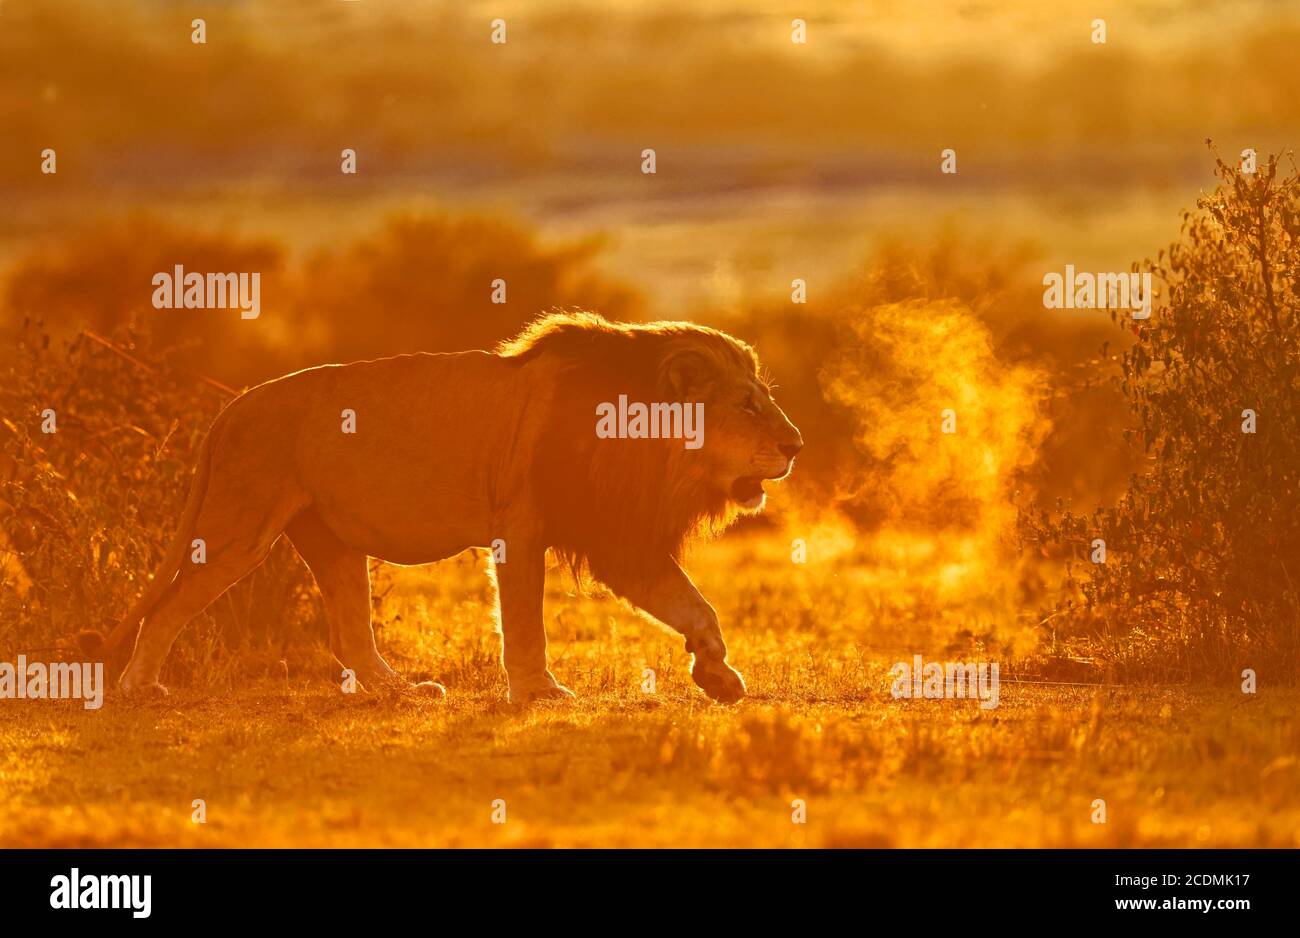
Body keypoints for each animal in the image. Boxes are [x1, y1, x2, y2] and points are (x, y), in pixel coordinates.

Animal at [81, 312, 803, 704]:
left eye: (764, 395)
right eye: (747, 405)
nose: (796, 445)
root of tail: (232, 405)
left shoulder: (619, 538)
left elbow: (696, 605)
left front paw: (719, 676)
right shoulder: (523, 526)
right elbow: (525, 623)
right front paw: (539, 691)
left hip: (329, 538)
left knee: (350, 635)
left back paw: (404, 692)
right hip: (241, 525)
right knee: (170, 607)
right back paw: (138, 689)